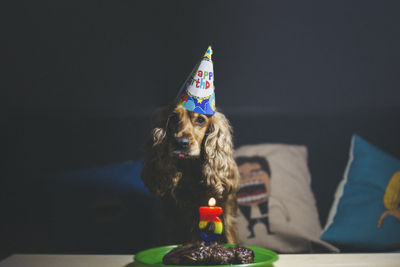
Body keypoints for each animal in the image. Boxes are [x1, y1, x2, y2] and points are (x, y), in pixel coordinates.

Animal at [142, 104, 239, 245]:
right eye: (174, 118)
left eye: (200, 120)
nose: (181, 142)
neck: (190, 170)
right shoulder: (169, 220)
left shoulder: (227, 217)